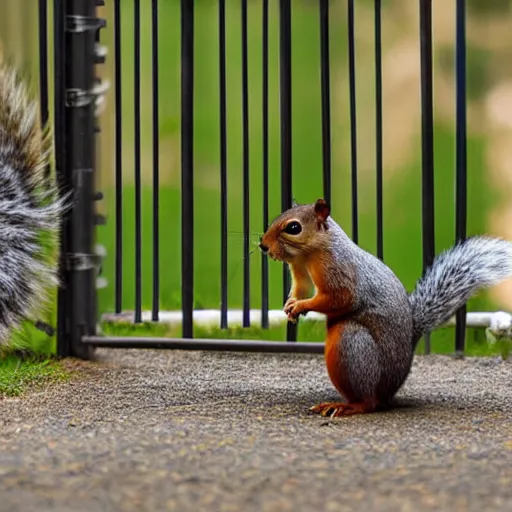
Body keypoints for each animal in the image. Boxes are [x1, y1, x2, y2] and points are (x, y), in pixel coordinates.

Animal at [260, 198, 512, 418]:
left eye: (293, 227)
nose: (263, 245)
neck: (311, 253)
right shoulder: (299, 268)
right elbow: (301, 288)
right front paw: (291, 305)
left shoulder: (339, 271)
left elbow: (341, 298)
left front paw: (301, 306)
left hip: (352, 344)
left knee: (369, 402)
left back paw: (346, 406)